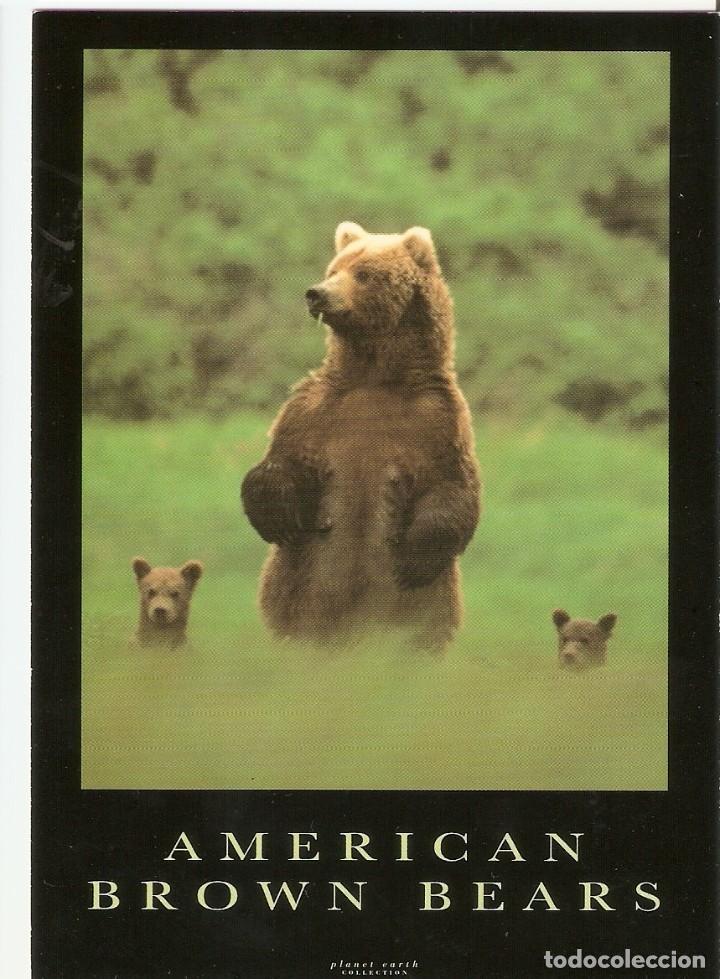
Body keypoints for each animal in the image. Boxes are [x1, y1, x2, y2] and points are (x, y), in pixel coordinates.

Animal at [241, 222, 481, 652]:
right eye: (334, 268)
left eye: (364, 273)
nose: (316, 292)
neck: (374, 375)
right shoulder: (316, 410)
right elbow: (282, 460)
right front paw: (279, 516)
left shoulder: (437, 420)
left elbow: (451, 487)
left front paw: (415, 558)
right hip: (300, 595)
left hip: (420, 611)